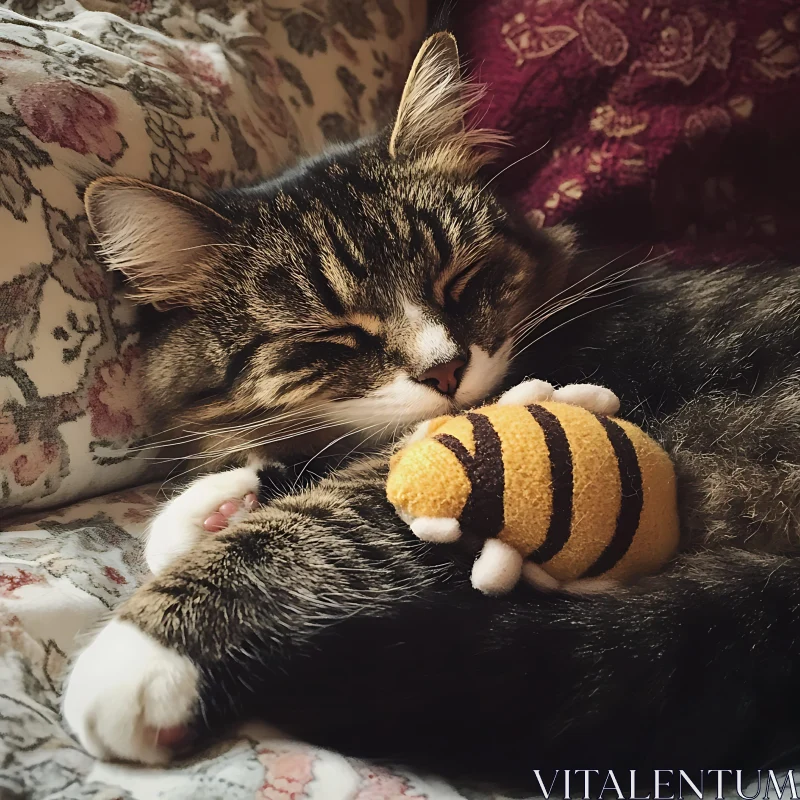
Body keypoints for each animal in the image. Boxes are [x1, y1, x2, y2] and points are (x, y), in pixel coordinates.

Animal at [62, 34, 800, 792]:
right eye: (337, 335)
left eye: (460, 281)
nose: (445, 369)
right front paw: (215, 503)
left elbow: (320, 520)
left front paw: (146, 648)